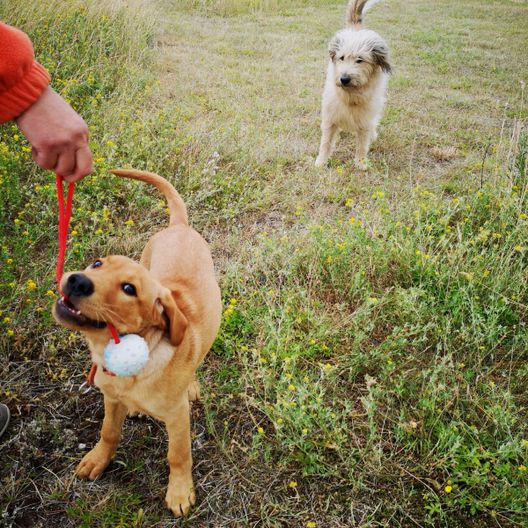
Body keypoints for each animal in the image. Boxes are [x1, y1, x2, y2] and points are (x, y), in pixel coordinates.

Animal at [52, 169, 221, 516]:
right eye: (97, 264)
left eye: (129, 289)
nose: (77, 280)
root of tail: (179, 226)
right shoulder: (111, 398)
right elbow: (108, 431)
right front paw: (98, 459)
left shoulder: (177, 415)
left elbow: (178, 454)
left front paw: (180, 491)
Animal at [316, 0, 390, 169]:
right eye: (341, 57)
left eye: (360, 60)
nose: (344, 79)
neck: (351, 95)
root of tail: (356, 30)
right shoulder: (330, 116)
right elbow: (326, 142)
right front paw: (321, 162)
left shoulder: (365, 121)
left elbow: (362, 143)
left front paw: (361, 163)